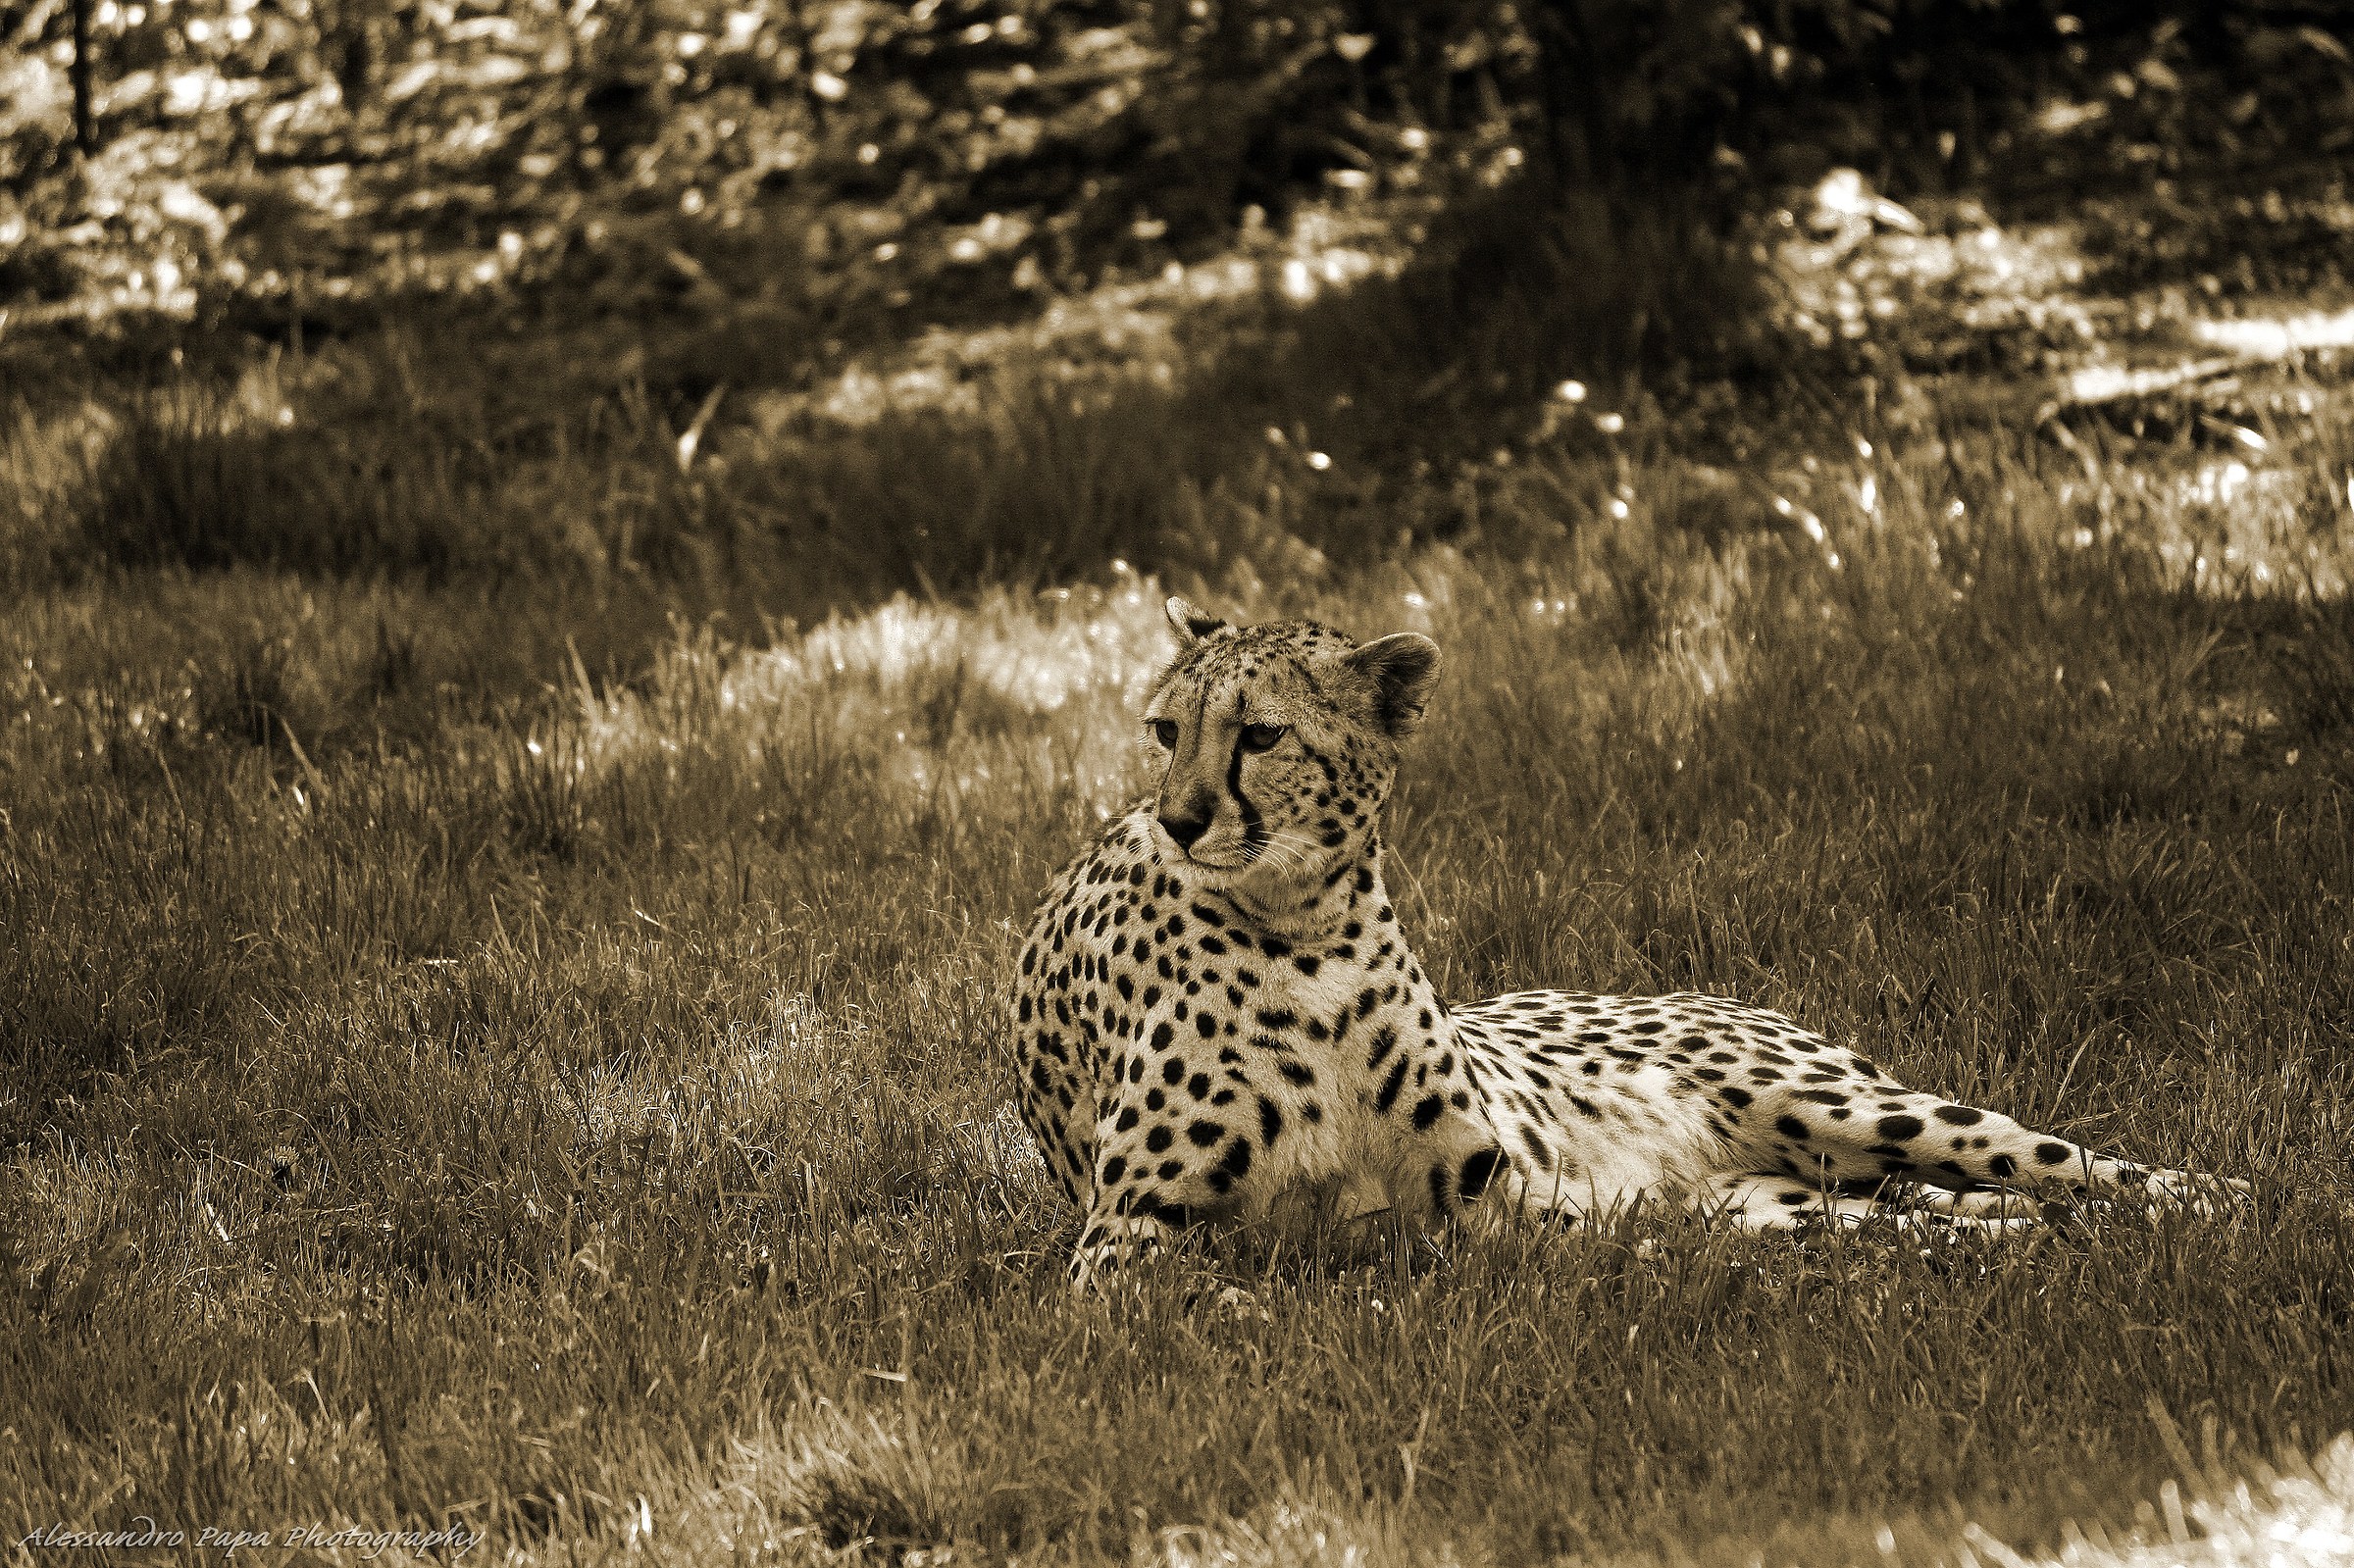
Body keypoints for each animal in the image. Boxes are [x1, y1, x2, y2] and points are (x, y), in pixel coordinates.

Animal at [1011, 597, 2249, 1289]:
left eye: (1259, 736)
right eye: (1163, 731)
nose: (1179, 818)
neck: (1303, 924)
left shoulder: (1496, 1200)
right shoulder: (1126, 1243)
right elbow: (1220, 1300)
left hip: (1851, 1113)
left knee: (2077, 1172)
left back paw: (2216, 1205)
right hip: (1784, 1191)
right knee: (1939, 1222)